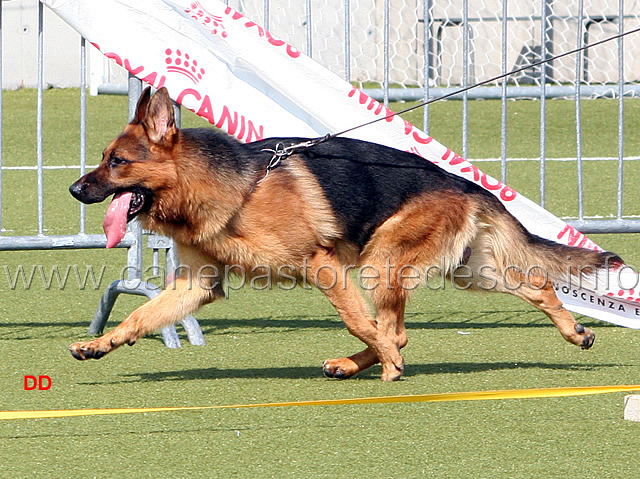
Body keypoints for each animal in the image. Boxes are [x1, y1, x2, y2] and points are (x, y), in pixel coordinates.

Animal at [69, 87, 620, 382]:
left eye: (117, 162)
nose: (75, 189)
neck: (229, 186)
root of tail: (466, 183)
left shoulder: (322, 264)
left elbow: (360, 322)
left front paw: (388, 362)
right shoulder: (196, 284)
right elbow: (140, 314)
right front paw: (102, 344)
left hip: (383, 262)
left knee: (393, 329)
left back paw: (382, 365)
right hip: (469, 271)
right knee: (538, 284)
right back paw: (574, 331)